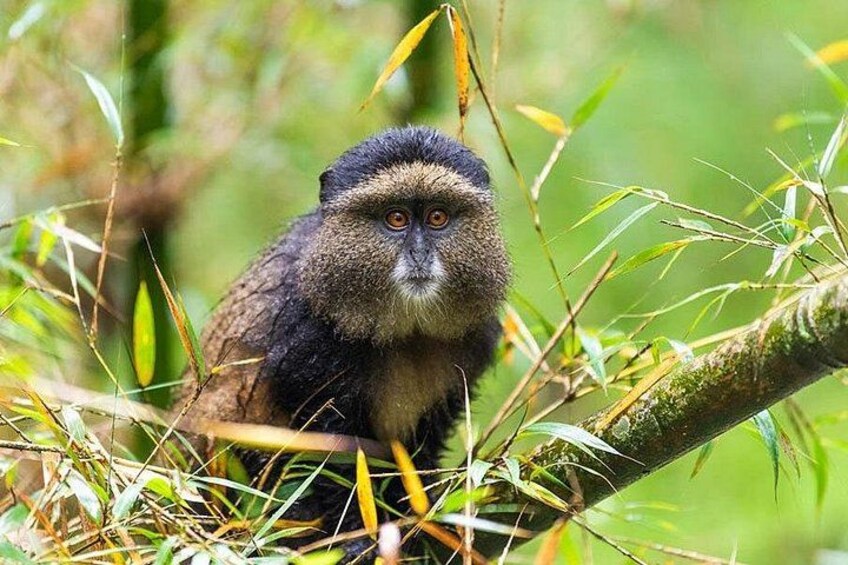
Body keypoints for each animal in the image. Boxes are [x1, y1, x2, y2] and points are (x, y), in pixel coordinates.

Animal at [174, 126, 510, 562]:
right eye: (396, 219)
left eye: (437, 217)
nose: (419, 253)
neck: (407, 329)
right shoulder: (306, 338)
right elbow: (329, 449)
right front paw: (354, 535)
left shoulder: (473, 339)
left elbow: (423, 441)